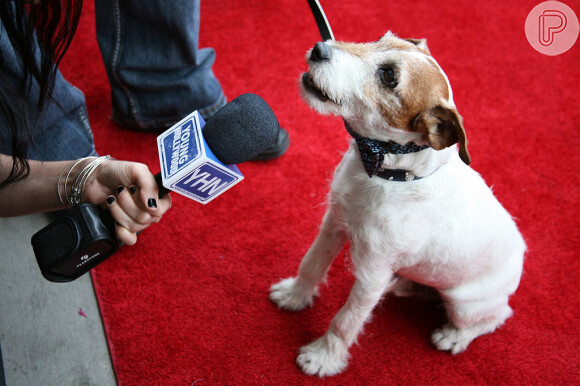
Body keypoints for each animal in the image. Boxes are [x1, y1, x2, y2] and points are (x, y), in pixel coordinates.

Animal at [270, 32, 528, 376]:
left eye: (389, 76)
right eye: (379, 40)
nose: (319, 48)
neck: (389, 172)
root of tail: (520, 257)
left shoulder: (372, 275)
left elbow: (345, 320)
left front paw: (324, 357)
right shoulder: (334, 223)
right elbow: (312, 263)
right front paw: (294, 295)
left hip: (465, 302)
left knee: (496, 316)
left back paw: (454, 336)